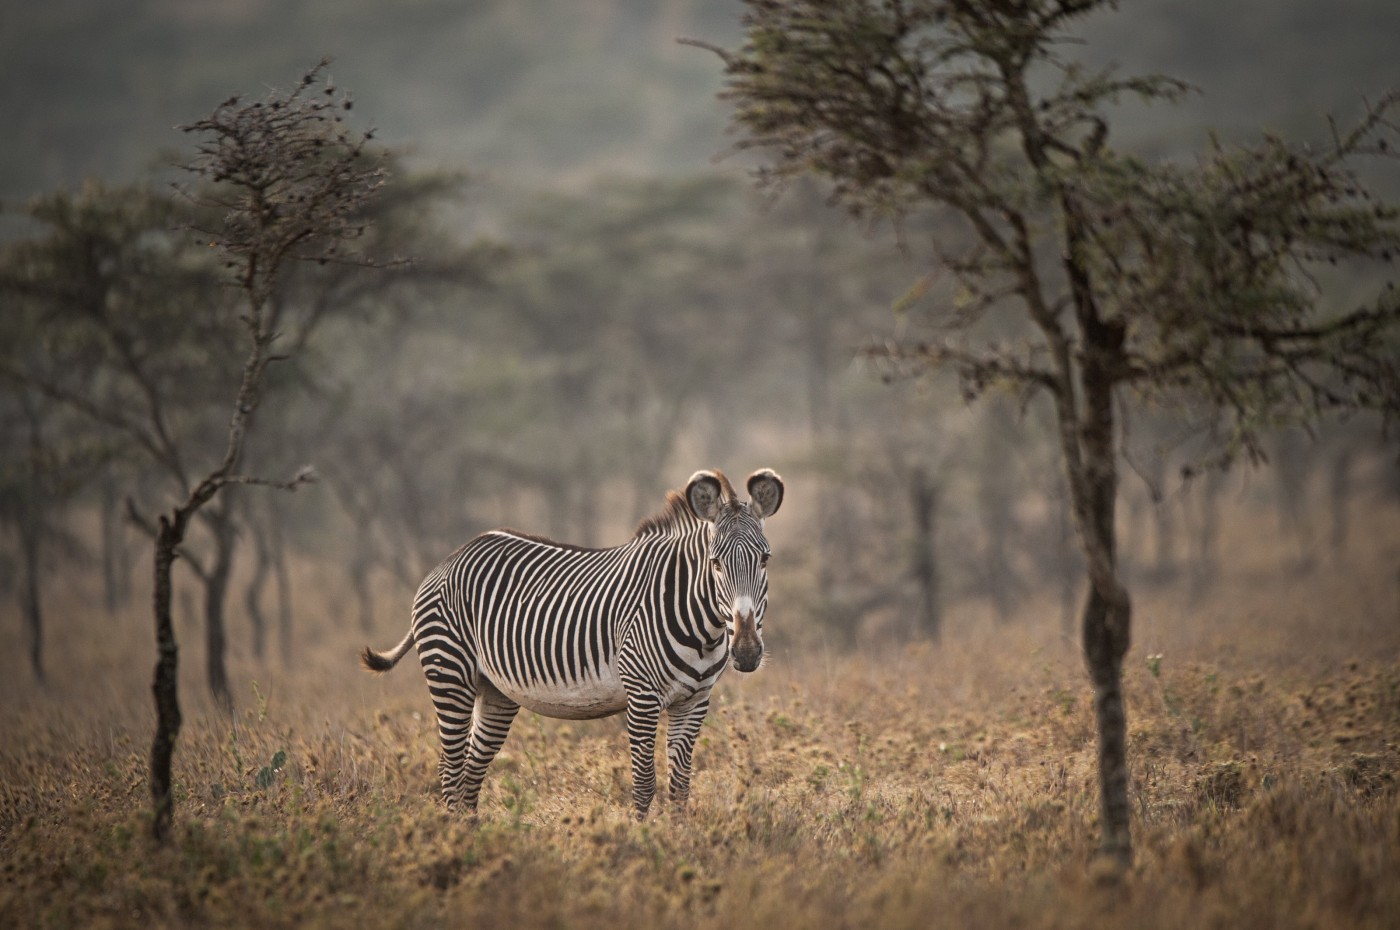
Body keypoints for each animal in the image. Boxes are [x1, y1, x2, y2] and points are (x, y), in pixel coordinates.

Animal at [361, 468, 784, 818]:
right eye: (716, 564)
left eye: (765, 559)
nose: (747, 652)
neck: (702, 626)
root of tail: (450, 558)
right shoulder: (642, 697)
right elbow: (644, 783)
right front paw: (645, 845)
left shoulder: (694, 702)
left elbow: (680, 787)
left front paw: (681, 844)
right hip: (449, 673)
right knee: (450, 771)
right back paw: (455, 847)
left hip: (494, 691)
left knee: (470, 772)